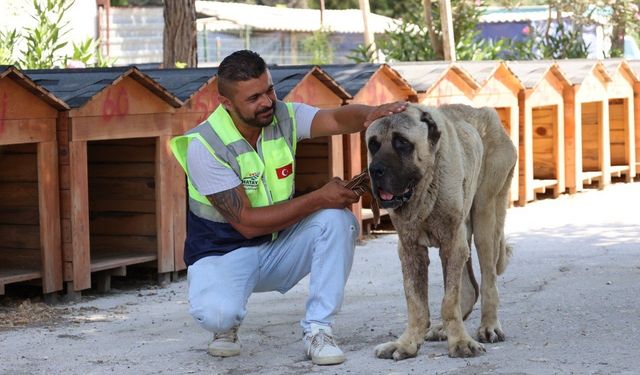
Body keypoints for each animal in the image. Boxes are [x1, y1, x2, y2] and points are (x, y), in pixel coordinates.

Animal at [368, 103, 516, 362]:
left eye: (402, 142)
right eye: (373, 145)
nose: (374, 170)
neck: (425, 188)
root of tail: (487, 112)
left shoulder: (452, 243)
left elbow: (449, 300)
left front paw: (460, 343)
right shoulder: (410, 248)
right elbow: (415, 301)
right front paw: (406, 343)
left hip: (484, 218)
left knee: (488, 280)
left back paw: (489, 326)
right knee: (469, 287)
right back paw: (442, 329)